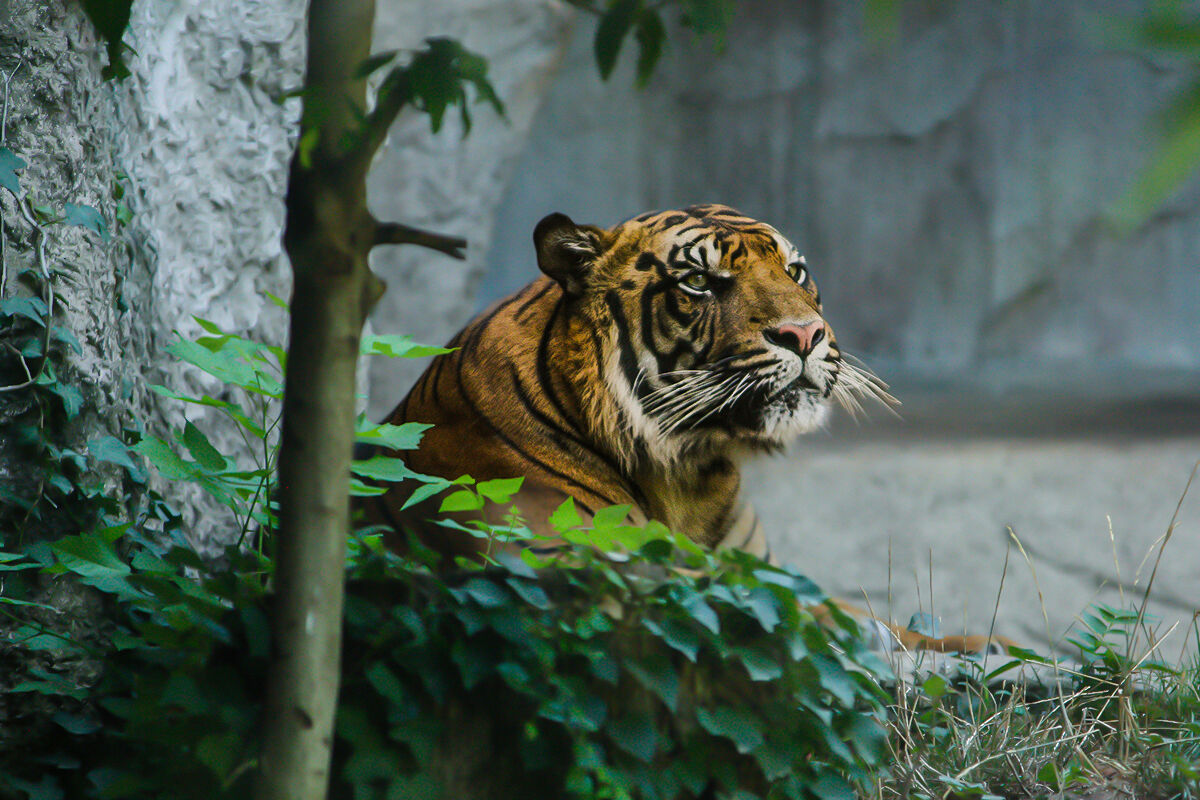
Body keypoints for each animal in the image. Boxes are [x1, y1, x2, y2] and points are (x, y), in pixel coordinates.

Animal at [362, 204, 1013, 654]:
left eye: (796, 271)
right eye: (699, 282)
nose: (805, 335)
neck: (691, 469)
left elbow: (869, 616)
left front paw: (993, 650)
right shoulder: (577, 560)